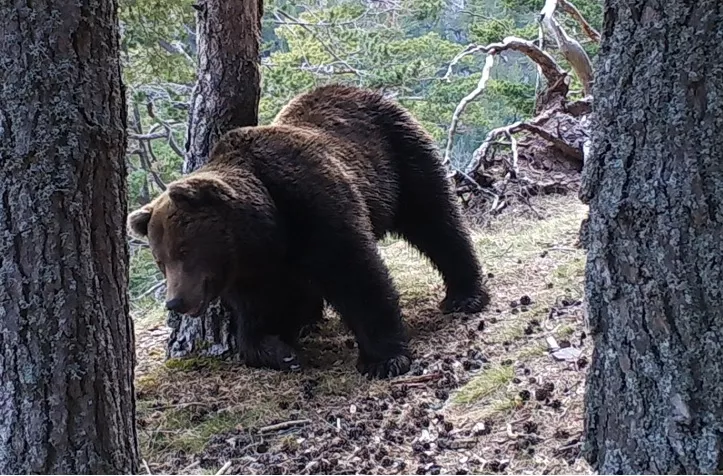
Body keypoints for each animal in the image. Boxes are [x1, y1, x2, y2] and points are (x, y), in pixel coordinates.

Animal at [127, 84, 490, 379]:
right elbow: (257, 313)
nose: (175, 301)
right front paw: (279, 350)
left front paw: (383, 359)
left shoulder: (312, 205)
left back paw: (465, 294)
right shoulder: (254, 269)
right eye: (161, 262)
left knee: (436, 220)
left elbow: (356, 275)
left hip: (399, 154)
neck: (266, 229)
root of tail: (357, 89)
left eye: (183, 251)